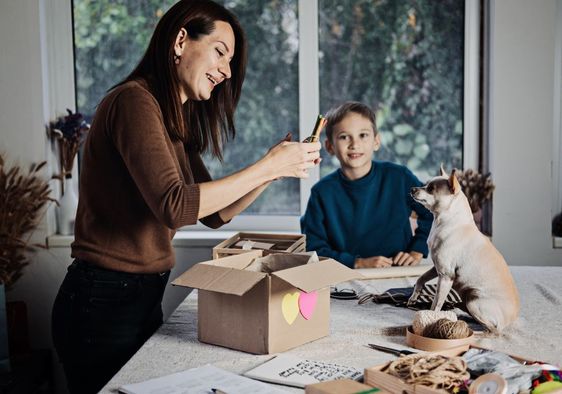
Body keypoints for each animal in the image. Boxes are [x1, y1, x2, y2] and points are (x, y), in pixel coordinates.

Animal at [404, 166, 520, 332]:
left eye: (431, 189)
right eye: (425, 184)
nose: (412, 189)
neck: (445, 222)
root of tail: (510, 319)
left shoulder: (446, 276)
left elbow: (436, 303)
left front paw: (431, 316)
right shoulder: (437, 268)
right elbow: (421, 278)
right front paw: (414, 297)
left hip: (473, 300)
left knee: (492, 329)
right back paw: (458, 308)